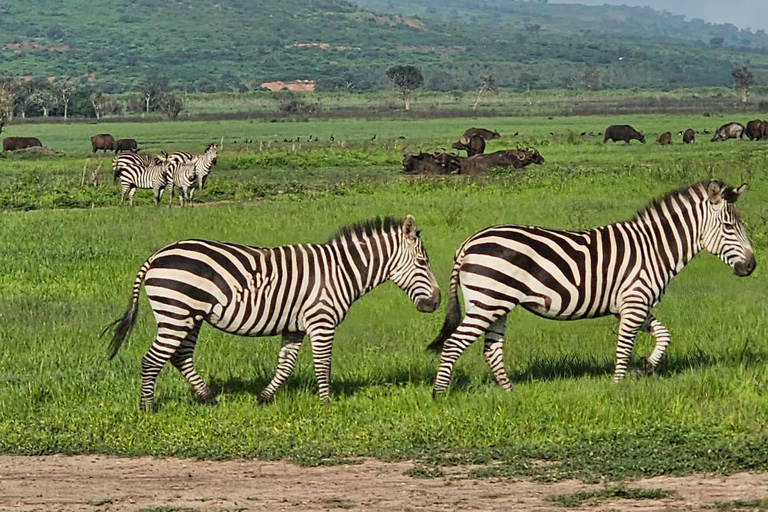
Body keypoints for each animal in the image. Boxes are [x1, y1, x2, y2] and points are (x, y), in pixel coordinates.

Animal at [103, 216, 440, 412]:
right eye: (423, 263)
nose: (436, 302)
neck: (340, 270)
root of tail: (156, 255)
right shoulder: (321, 320)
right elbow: (323, 364)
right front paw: (326, 404)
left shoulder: (295, 326)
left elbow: (285, 366)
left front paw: (263, 398)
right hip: (176, 312)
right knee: (152, 359)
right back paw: (147, 407)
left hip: (190, 316)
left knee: (180, 357)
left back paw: (209, 398)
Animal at [426, 180, 756, 396]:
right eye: (729, 226)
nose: (751, 267)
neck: (654, 248)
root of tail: (468, 243)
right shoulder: (634, 302)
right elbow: (623, 348)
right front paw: (617, 388)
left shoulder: (634, 304)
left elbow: (664, 336)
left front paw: (645, 368)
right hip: (488, 302)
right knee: (454, 344)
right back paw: (439, 393)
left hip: (498, 303)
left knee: (491, 350)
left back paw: (511, 393)